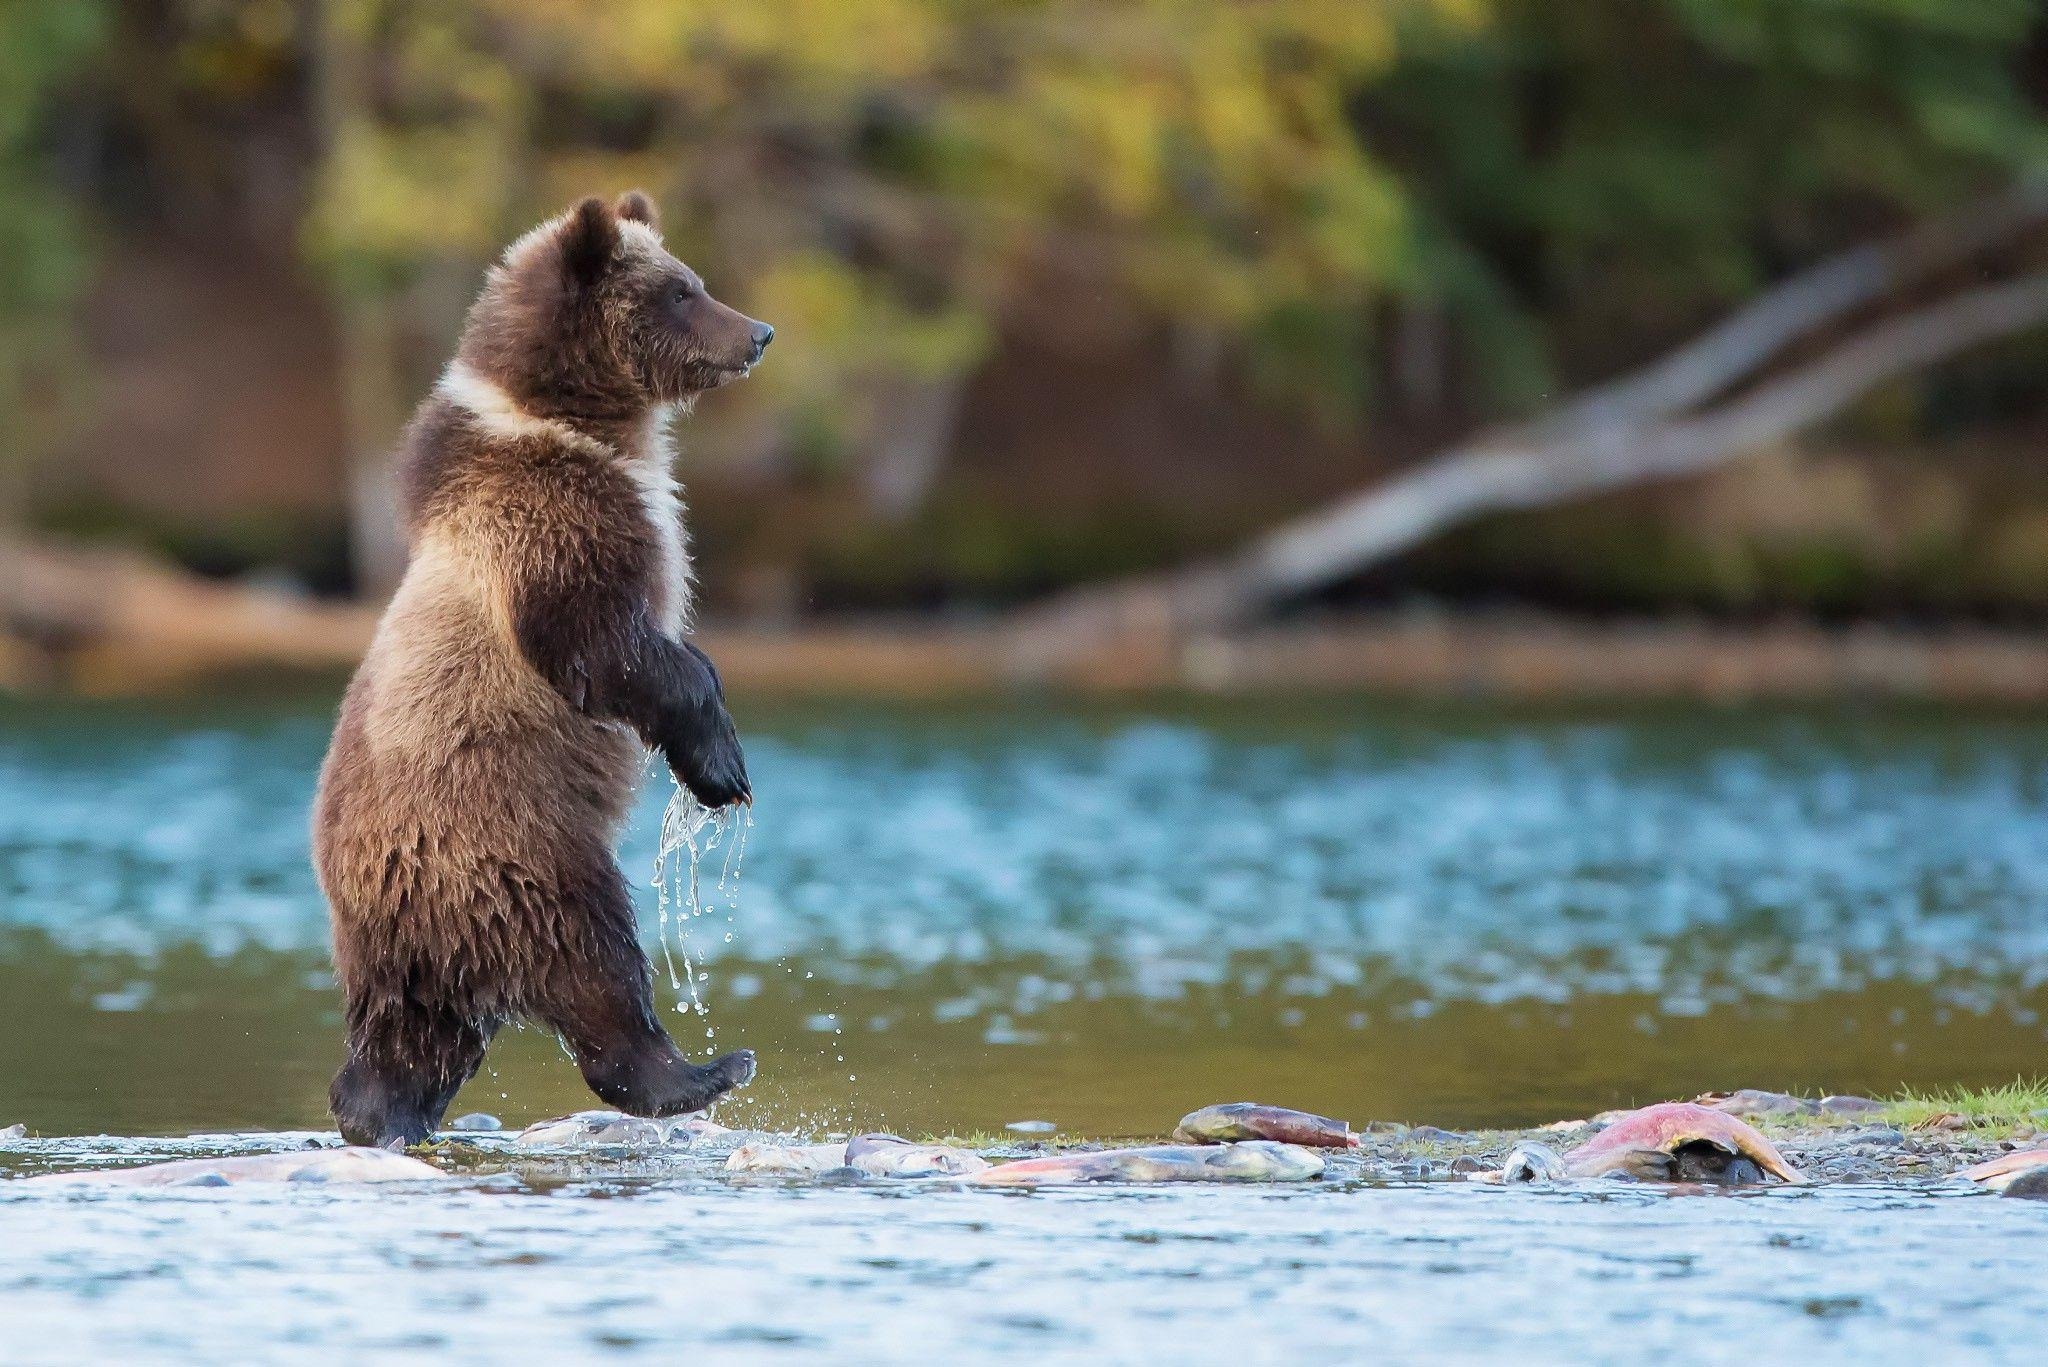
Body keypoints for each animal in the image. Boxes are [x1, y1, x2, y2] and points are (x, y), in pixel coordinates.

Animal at [311, 189, 770, 1147]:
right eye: (683, 290)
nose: (758, 332)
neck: (578, 426)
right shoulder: (549, 524)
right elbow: (608, 645)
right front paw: (721, 766)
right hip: (516, 843)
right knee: (595, 960)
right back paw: (702, 1070)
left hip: (404, 948)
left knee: (410, 1039)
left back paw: (379, 1115)